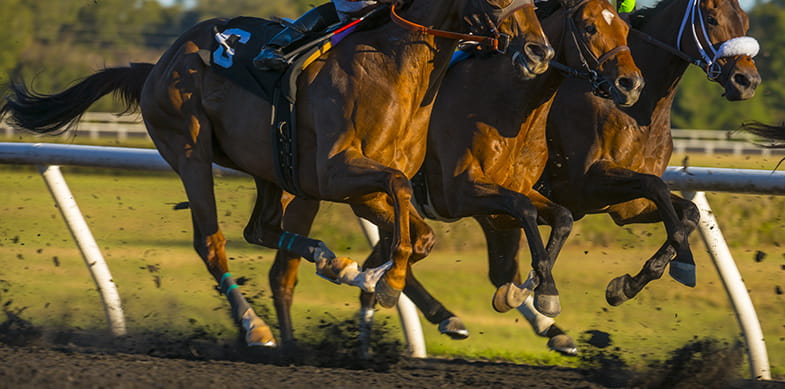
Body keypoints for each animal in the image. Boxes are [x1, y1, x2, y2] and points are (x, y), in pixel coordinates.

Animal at [0, 0, 552, 346]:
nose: (539, 51)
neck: (395, 69)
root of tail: (156, 64)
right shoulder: (338, 174)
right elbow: (403, 208)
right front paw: (384, 281)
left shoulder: (363, 184)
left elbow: (419, 235)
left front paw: (368, 274)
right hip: (190, 149)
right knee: (212, 242)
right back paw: (256, 328)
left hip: (270, 166)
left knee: (261, 229)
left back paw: (333, 263)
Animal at [266, 0, 640, 348]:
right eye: (590, 27)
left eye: (625, 28)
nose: (631, 84)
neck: (506, 101)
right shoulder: (463, 193)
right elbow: (524, 212)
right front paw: (538, 292)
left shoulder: (515, 192)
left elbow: (559, 218)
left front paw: (531, 290)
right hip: (308, 191)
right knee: (283, 273)